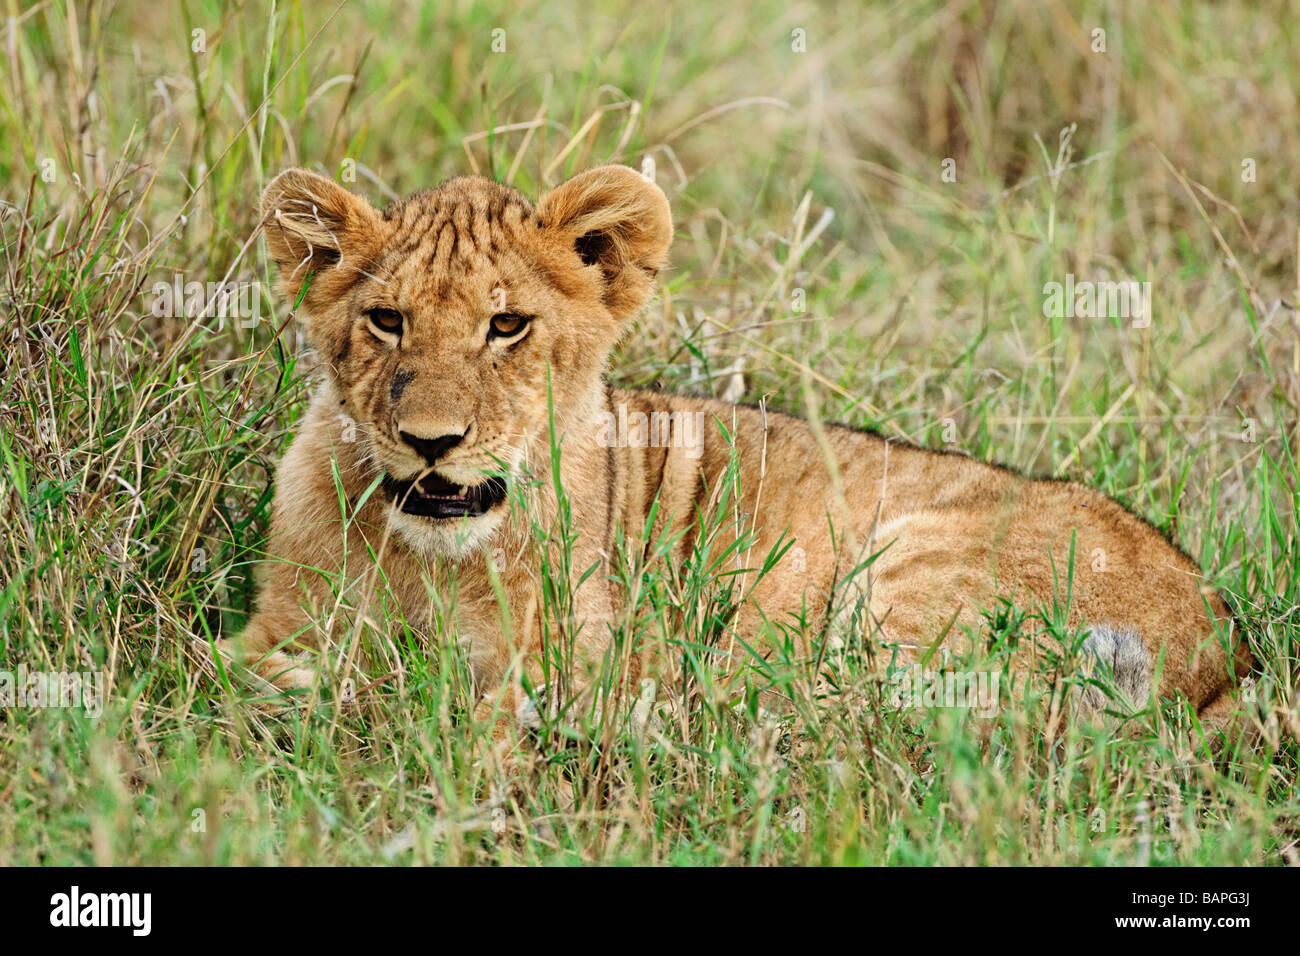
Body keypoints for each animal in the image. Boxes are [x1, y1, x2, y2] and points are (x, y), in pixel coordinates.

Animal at [220, 163, 1255, 754]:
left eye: (506, 327)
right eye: (386, 320)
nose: (432, 442)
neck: (426, 557)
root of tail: (1224, 653)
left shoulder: (576, 650)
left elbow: (461, 705)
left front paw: (401, 706)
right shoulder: (279, 622)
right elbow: (224, 664)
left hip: (905, 574)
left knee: (834, 727)